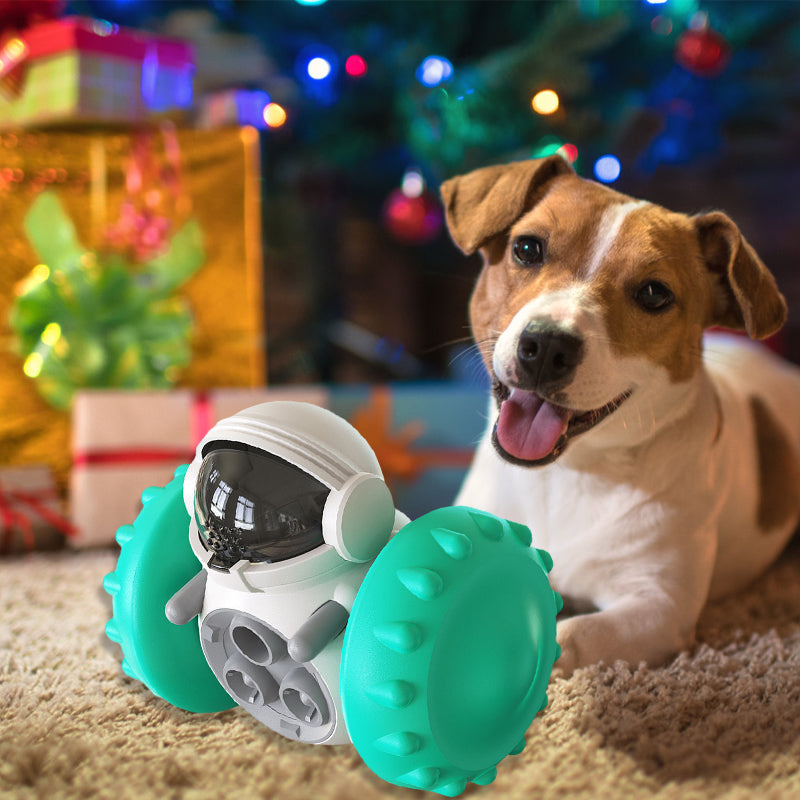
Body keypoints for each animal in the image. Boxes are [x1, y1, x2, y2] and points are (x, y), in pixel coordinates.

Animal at [440, 155, 796, 676]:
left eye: (653, 294)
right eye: (527, 248)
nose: (547, 346)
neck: (568, 475)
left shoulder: (658, 607)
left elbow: (571, 634)